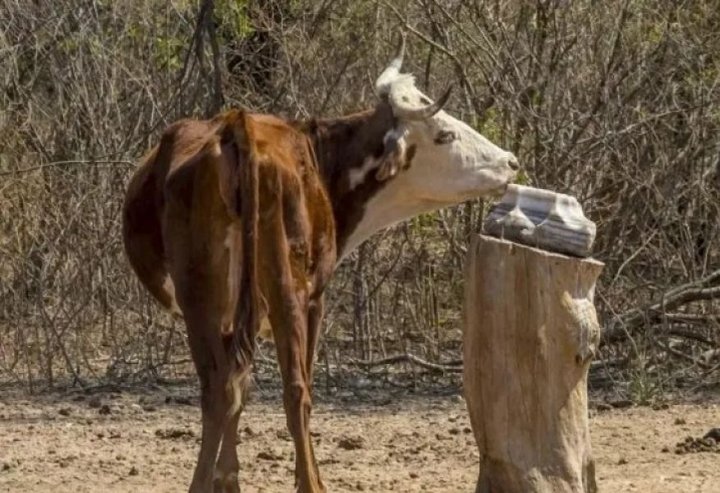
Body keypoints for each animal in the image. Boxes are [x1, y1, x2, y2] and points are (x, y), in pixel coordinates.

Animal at [122, 41, 516, 492]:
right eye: (444, 134)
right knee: (295, 390)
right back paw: (312, 482)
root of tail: (237, 127)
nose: (510, 161)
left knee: (217, 388)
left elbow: (239, 384)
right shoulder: (316, 299)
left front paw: (228, 477)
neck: (321, 159)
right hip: (287, 291)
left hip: (200, 298)